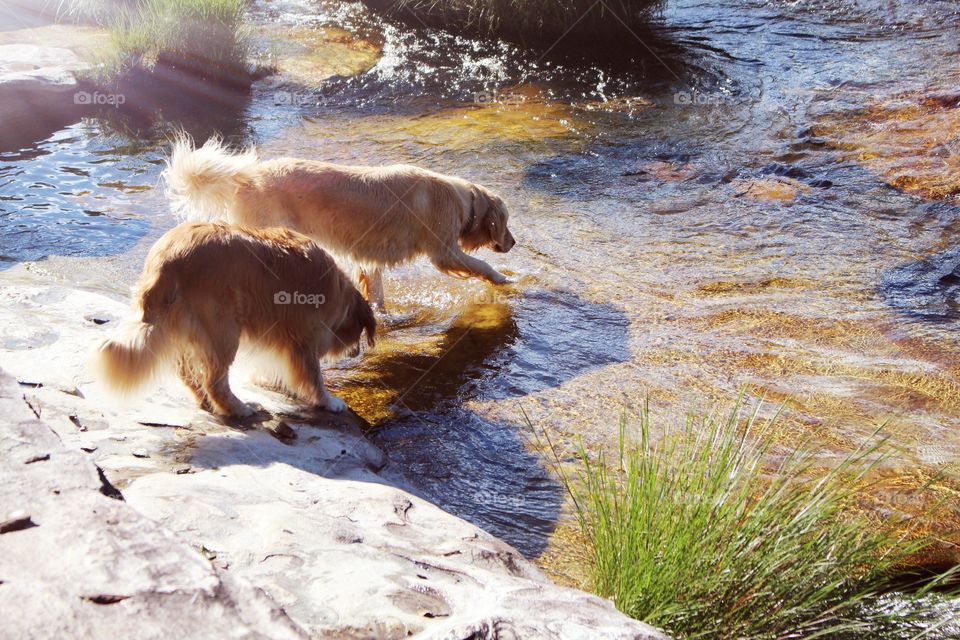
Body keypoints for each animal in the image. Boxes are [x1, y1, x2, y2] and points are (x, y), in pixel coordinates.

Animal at [90, 222, 376, 418]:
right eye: (358, 332)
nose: (357, 352)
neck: (337, 290)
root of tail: (165, 263)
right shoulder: (303, 337)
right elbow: (313, 377)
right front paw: (329, 401)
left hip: (183, 327)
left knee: (189, 373)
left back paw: (207, 401)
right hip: (223, 329)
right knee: (214, 381)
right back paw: (239, 409)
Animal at [163, 135, 516, 308]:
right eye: (506, 223)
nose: (513, 242)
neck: (464, 201)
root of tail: (245, 175)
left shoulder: (372, 260)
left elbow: (376, 292)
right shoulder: (443, 252)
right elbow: (481, 265)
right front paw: (502, 278)